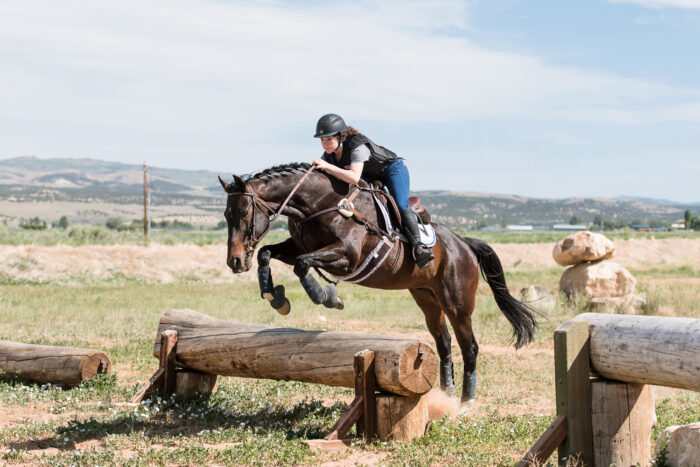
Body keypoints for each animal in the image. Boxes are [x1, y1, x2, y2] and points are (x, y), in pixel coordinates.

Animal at [219, 162, 537, 402]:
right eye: (225, 214)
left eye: (244, 213)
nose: (235, 261)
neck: (320, 204)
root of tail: (464, 243)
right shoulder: (298, 245)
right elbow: (266, 253)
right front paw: (276, 297)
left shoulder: (347, 257)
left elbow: (302, 264)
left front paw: (326, 297)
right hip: (427, 297)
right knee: (444, 342)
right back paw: (445, 393)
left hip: (457, 304)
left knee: (469, 346)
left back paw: (465, 401)